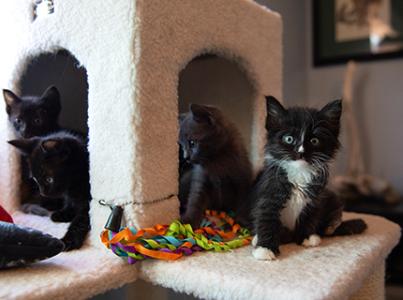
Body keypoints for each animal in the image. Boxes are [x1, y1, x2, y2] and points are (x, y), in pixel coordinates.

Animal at [252, 96, 370, 260]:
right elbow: (267, 218)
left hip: (332, 196)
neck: (299, 174)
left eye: (314, 141)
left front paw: (306, 237)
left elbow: (310, 216)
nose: (301, 152)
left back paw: (331, 226)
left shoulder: (316, 197)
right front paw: (265, 248)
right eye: (289, 139)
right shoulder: (270, 193)